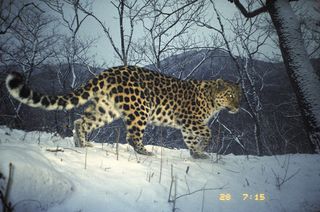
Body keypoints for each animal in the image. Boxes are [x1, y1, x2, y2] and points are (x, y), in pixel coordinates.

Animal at [5, 65, 240, 158]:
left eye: (239, 95)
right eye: (230, 95)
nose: (237, 106)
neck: (212, 100)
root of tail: (110, 71)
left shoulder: (188, 126)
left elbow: (192, 140)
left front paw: (196, 153)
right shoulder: (190, 120)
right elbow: (207, 132)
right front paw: (201, 149)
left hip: (105, 109)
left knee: (82, 121)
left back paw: (82, 143)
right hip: (140, 107)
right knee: (132, 136)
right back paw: (145, 151)